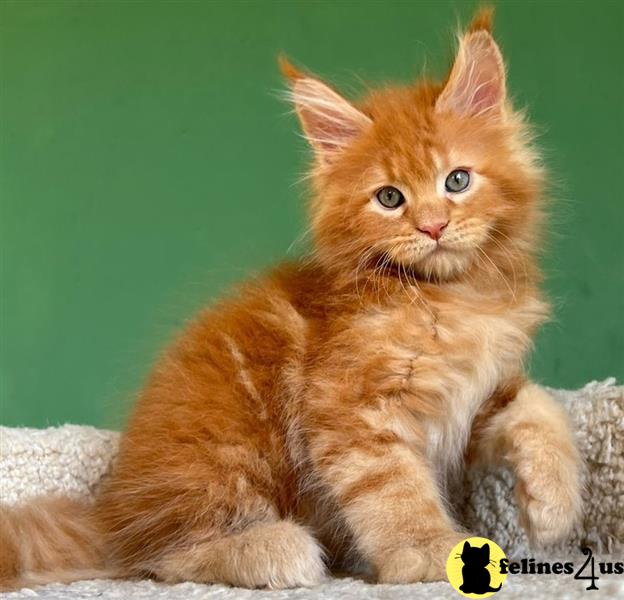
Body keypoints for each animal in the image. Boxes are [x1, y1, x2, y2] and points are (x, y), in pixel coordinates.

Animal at [2, 8, 584, 592]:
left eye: (457, 180)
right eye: (389, 198)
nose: (433, 225)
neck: (450, 297)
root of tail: (111, 511)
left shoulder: (480, 394)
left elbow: (540, 404)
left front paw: (553, 506)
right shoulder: (349, 409)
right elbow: (393, 491)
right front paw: (429, 551)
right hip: (228, 454)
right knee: (162, 557)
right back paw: (276, 549)